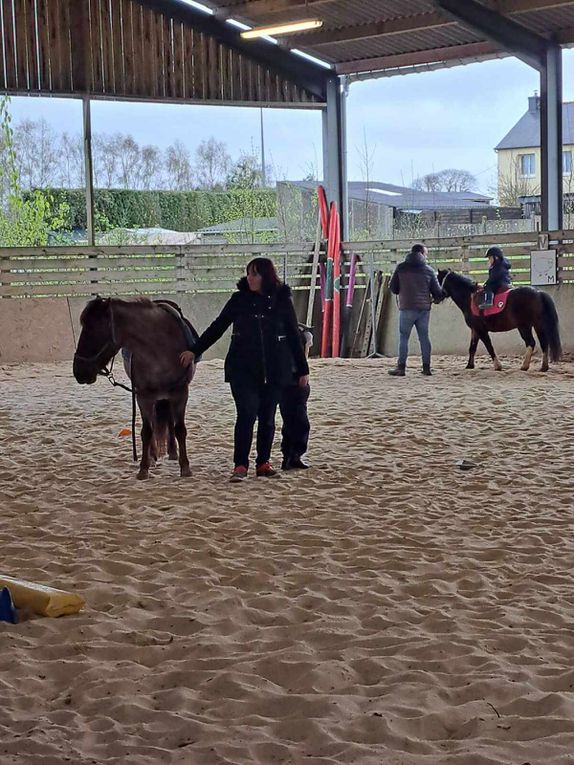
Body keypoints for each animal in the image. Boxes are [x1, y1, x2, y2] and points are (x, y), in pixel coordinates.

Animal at [72, 296, 198, 478]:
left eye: (92, 330)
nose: (78, 371)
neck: (160, 347)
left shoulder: (181, 393)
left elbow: (180, 429)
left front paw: (185, 467)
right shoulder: (143, 396)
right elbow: (146, 431)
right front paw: (144, 467)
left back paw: (173, 453)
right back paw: (153, 456)